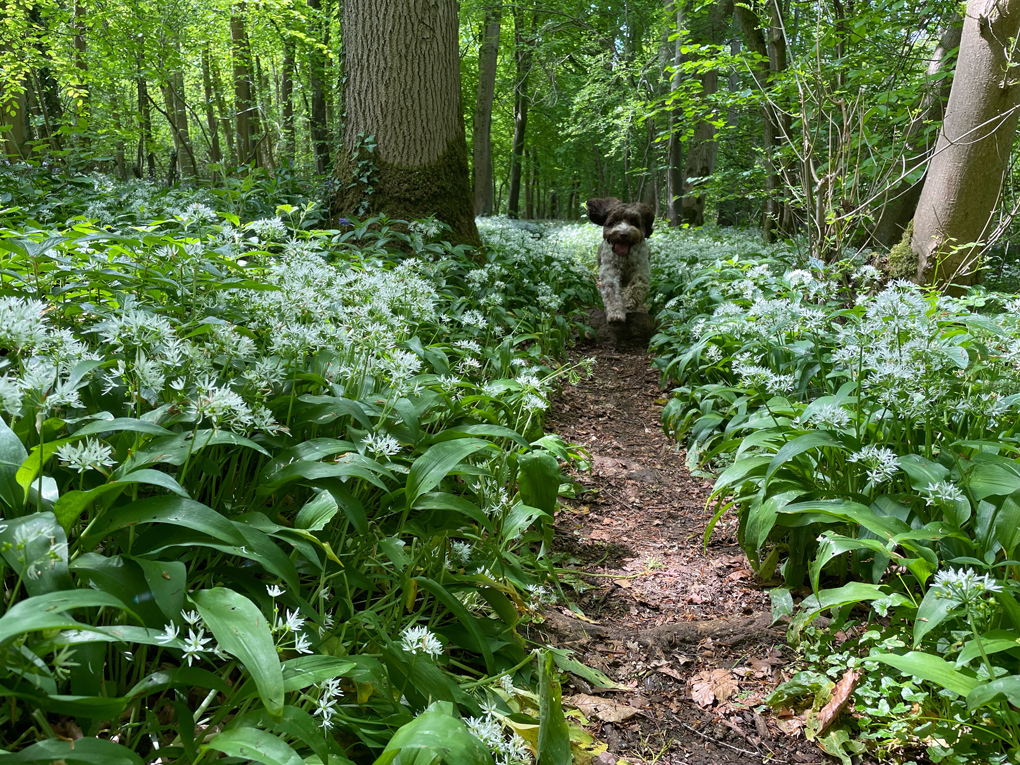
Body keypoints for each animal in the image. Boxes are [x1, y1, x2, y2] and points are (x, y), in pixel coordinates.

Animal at [587, 195, 656, 324]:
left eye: (634, 222)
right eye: (613, 221)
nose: (623, 234)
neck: (624, 257)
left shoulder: (641, 268)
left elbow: (638, 283)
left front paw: (630, 301)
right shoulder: (610, 272)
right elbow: (612, 292)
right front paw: (615, 314)